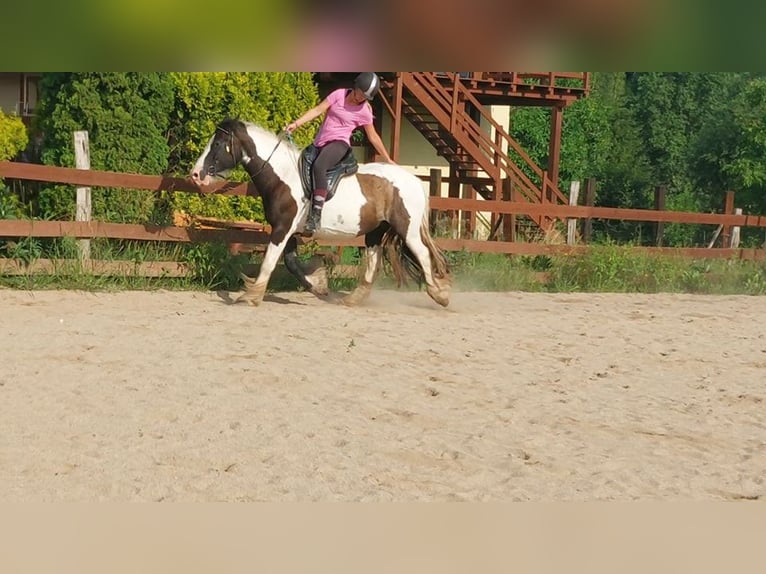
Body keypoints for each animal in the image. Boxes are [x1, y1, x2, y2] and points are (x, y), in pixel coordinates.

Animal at [189, 118, 450, 308]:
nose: (195, 174)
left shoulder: (282, 229)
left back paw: (440, 295)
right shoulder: (288, 230)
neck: (283, 176)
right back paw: (352, 299)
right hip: (376, 231)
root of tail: (415, 181)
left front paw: (250, 297)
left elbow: (269, 262)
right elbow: (291, 263)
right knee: (373, 261)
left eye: (216, 144)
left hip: (407, 229)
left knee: (423, 254)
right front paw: (319, 285)